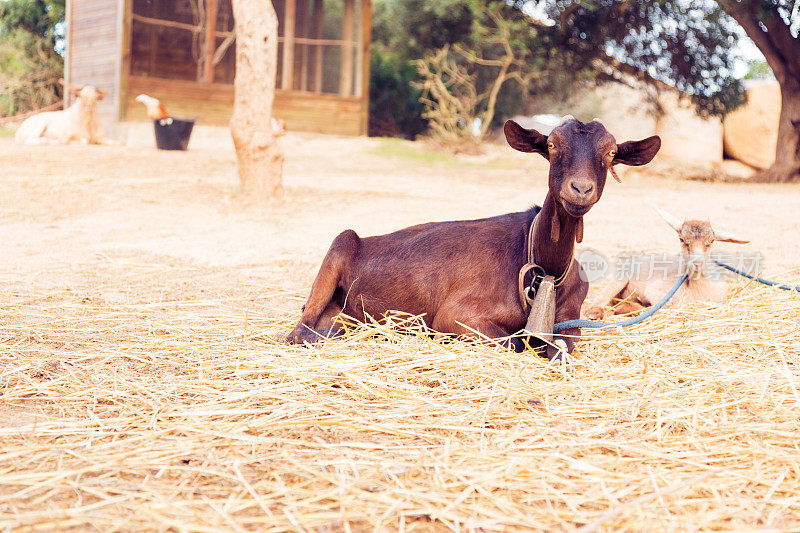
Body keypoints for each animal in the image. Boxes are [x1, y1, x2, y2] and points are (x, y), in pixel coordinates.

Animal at [290, 116, 660, 358]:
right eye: (553, 145)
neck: (543, 265)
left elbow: (562, 347)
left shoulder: (571, 318)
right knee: (300, 328)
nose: (580, 189)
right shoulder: (456, 314)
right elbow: (514, 342)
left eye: (610, 153)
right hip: (341, 243)